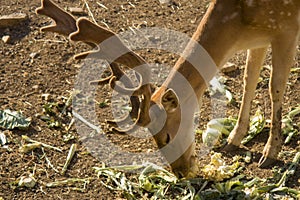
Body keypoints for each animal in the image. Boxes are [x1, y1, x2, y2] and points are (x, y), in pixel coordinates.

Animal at [36, 0, 298, 178]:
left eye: (167, 136)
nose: (181, 173)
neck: (240, 24)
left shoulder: (286, 29)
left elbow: (275, 86)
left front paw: (270, 152)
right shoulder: (258, 39)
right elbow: (248, 80)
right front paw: (233, 139)